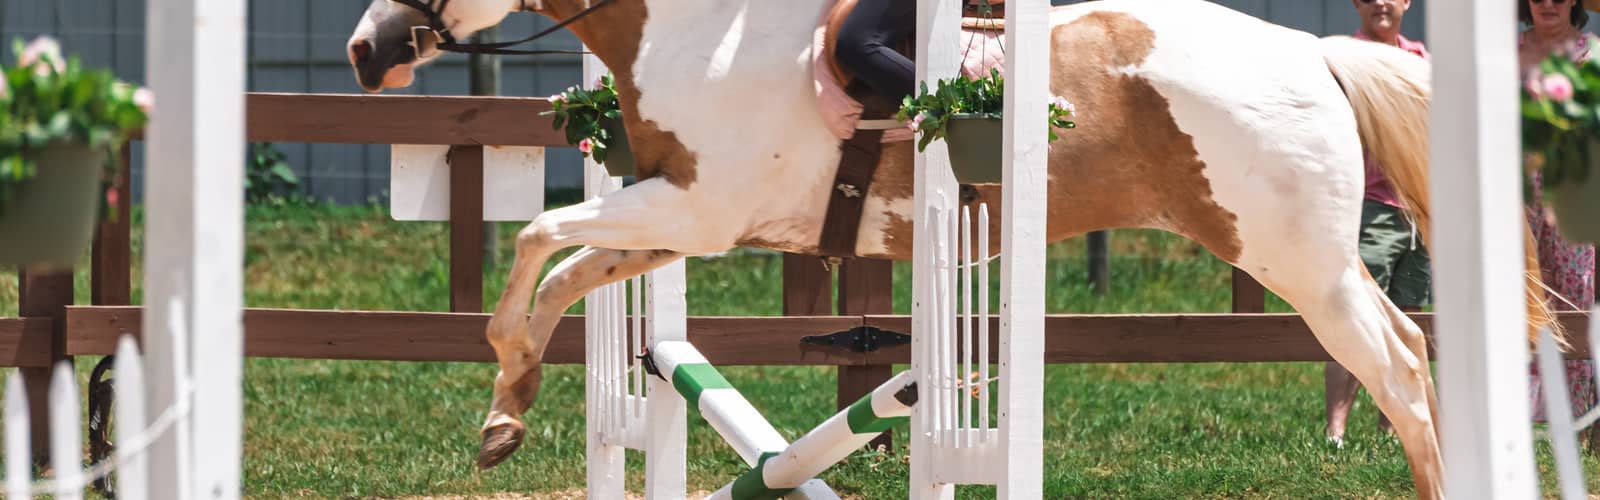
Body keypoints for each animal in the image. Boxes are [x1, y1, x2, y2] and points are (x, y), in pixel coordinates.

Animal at [345, 0, 1559, 497]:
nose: (363, 49)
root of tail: (1312, 50)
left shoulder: (691, 211)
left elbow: (538, 242)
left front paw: (504, 400)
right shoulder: (672, 217)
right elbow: (562, 269)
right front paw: (506, 411)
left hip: (1293, 257)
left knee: (1396, 362)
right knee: (1405, 354)